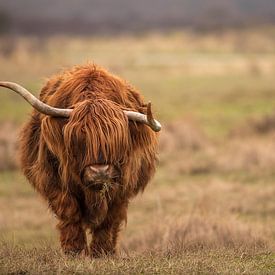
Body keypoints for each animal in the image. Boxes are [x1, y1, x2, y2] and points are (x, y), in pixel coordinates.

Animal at [0, 64, 161, 258]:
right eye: (79, 139)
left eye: (117, 141)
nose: (100, 172)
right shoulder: (54, 180)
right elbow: (70, 211)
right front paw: (74, 250)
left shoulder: (122, 187)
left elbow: (109, 219)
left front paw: (102, 252)